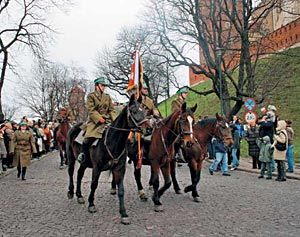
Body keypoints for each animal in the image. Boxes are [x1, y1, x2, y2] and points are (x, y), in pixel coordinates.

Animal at [66, 94, 150, 224]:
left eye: (145, 111)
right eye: (134, 111)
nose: (149, 128)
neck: (112, 141)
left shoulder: (119, 169)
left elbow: (121, 190)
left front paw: (124, 213)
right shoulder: (97, 168)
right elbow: (94, 184)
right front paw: (91, 204)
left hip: (84, 163)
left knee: (79, 174)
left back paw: (79, 196)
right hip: (71, 157)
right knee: (71, 172)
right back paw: (71, 192)